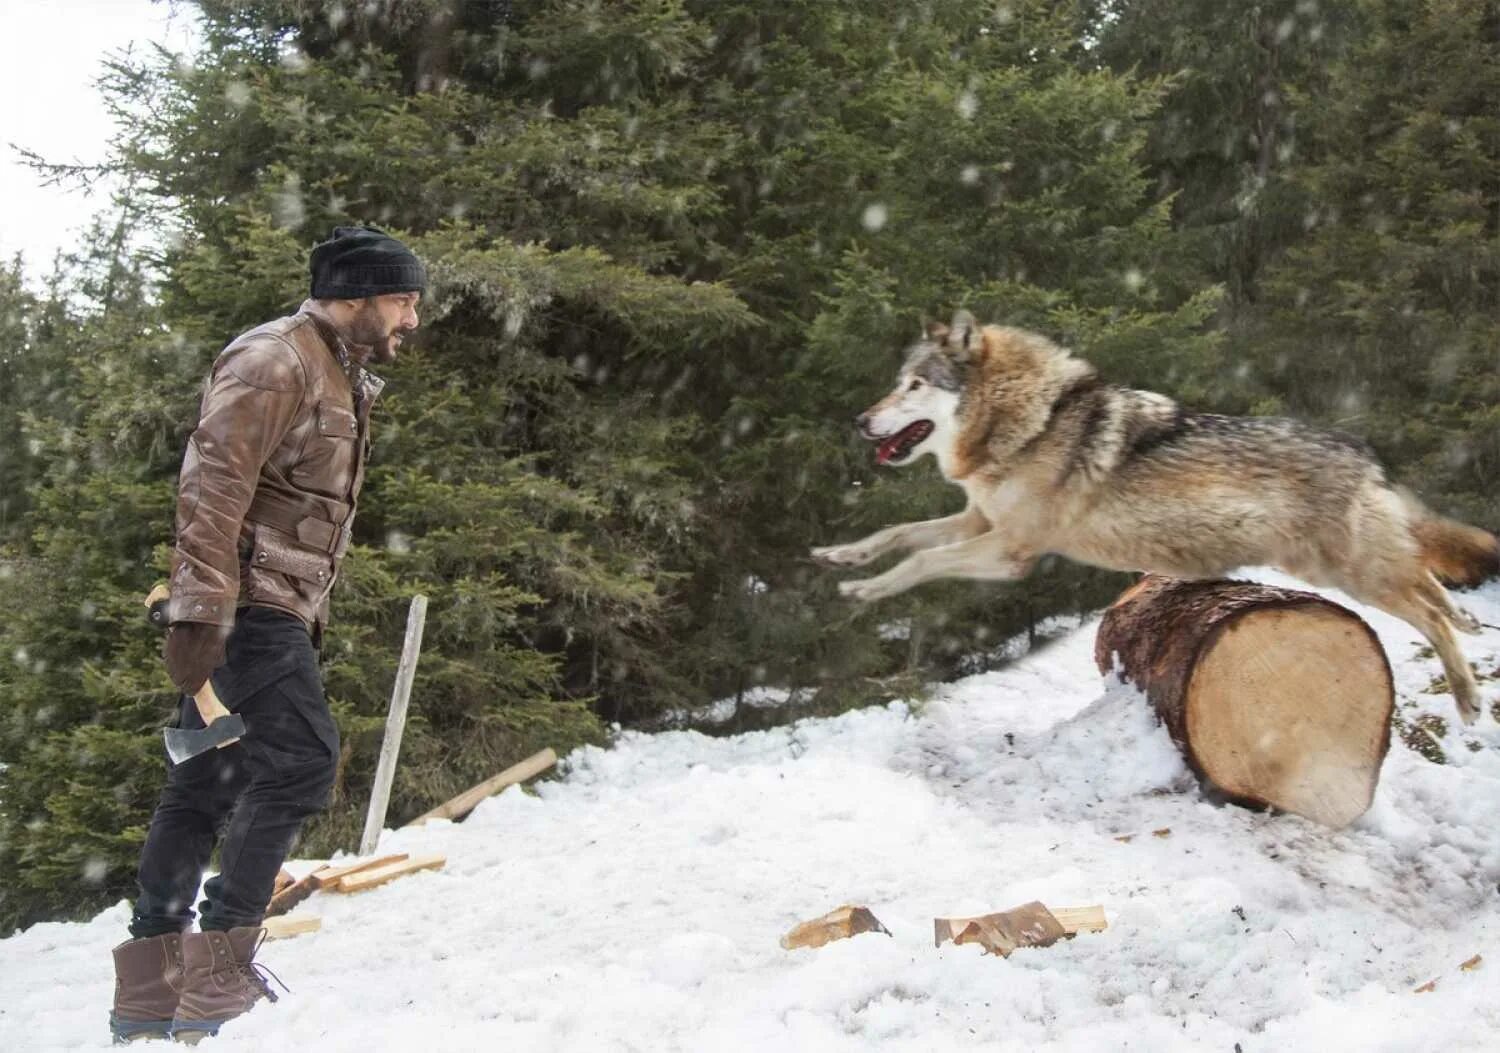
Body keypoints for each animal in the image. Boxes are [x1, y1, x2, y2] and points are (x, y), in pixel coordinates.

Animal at [822, 313, 1500, 726]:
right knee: (1430, 582)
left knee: (1431, 615)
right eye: (897, 383)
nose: (859, 420)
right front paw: (842, 558)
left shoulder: (1012, 553)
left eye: (913, 385)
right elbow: (899, 535)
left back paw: (1468, 697)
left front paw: (861, 591)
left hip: (1345, 574)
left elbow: (920, 560)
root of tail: (1363, 451)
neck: (1030, 422)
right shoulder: (977, 523)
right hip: (1347, 568)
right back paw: (1471, 624)